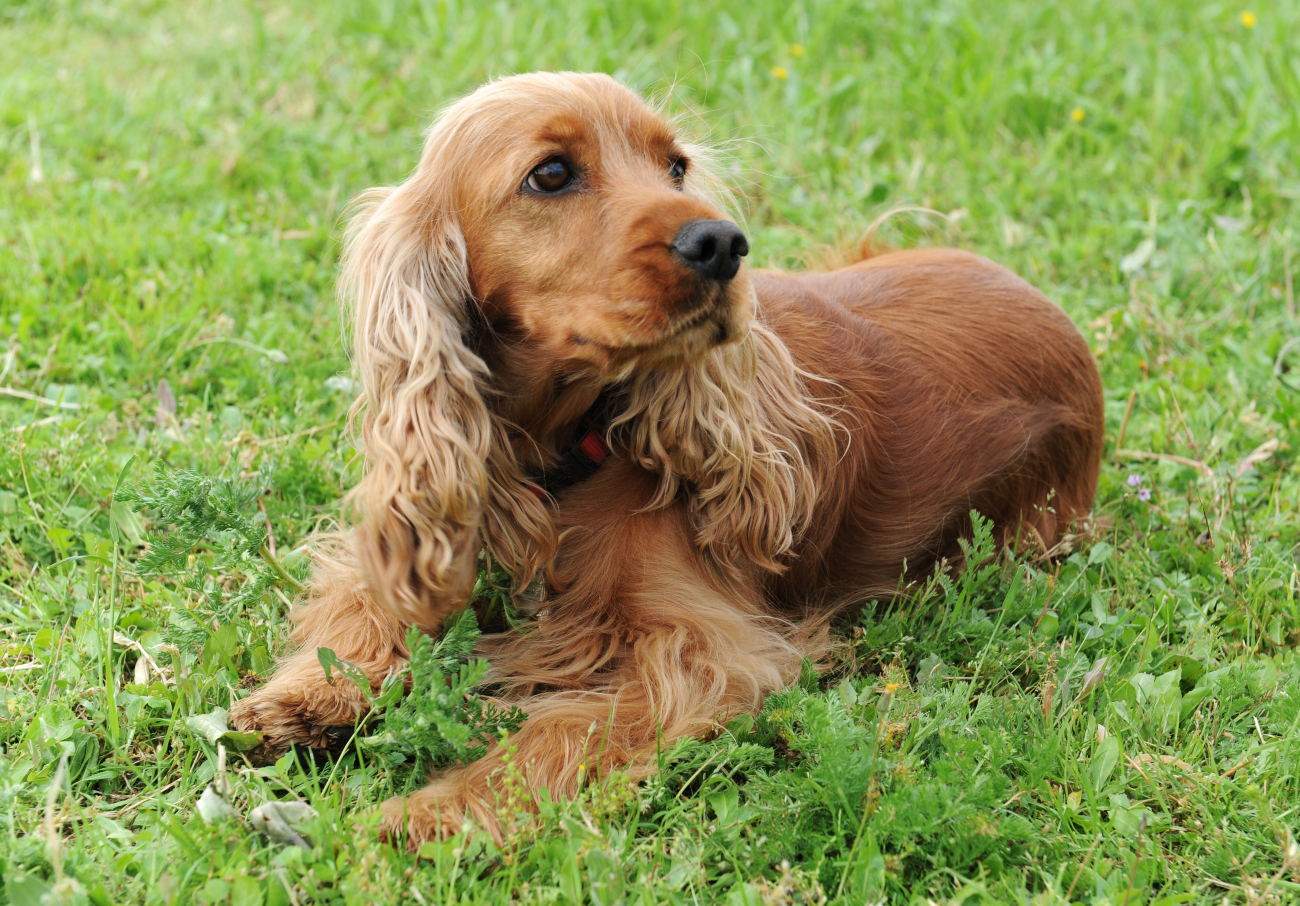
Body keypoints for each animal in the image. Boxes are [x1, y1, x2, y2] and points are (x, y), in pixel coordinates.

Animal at [228, 74, 1102, 842]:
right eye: (551, 174)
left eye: (675, 166)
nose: (722, 243)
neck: (557, 454)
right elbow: (367, 604)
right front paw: (300, 699)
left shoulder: (702, 653)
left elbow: (560, 735)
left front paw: (431, 815)